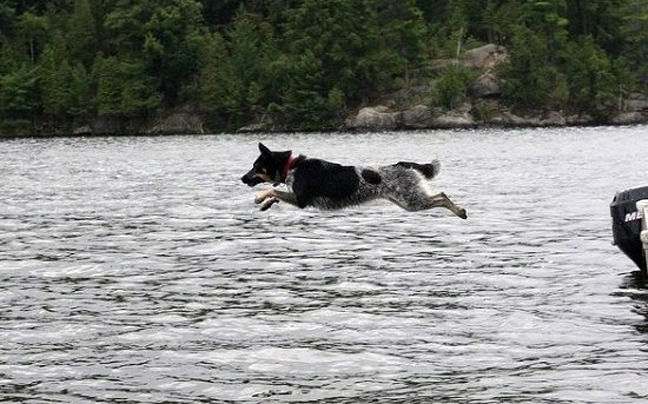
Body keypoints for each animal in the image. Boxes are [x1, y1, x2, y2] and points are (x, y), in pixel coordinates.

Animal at [240, 141, 468, 218]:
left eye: (255, 166)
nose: (242, 178)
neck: (291, 166)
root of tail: (403, 164)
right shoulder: (294, 196)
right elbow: (276, 194)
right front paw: (266, 204)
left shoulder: (301, 199)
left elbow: (273, 190)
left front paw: (260, 198)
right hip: (405, 200)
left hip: (411, 200)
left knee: (441, 196)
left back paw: (460, 211)